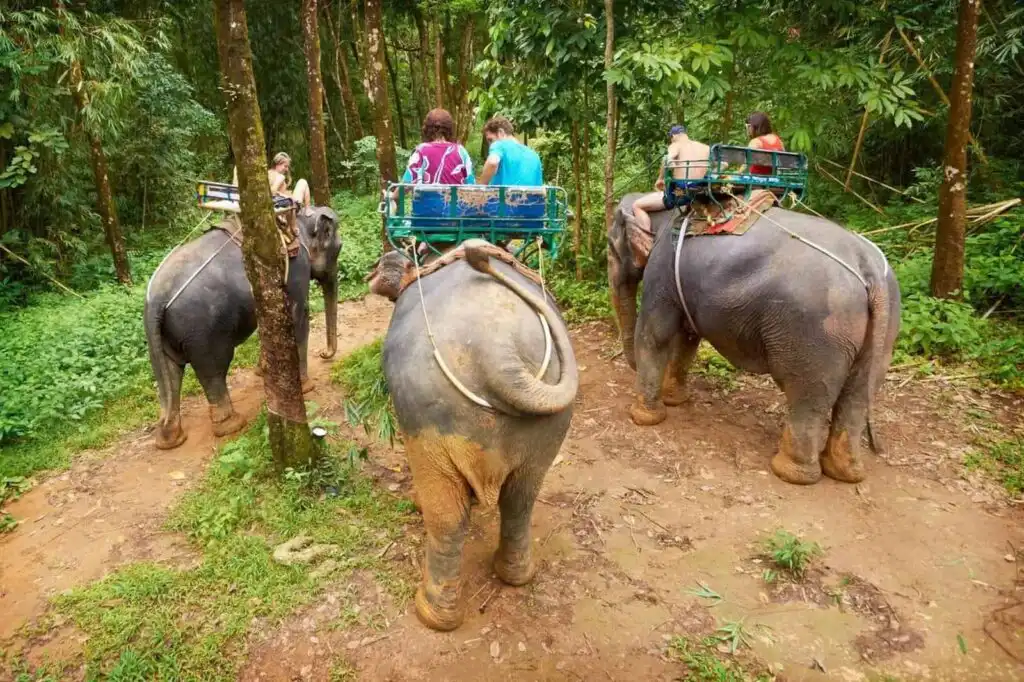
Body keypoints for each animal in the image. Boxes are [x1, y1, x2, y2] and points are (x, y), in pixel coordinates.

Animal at [144, 206, 340, 449]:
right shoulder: (297, 268)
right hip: (202, 332)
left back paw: (170, 438)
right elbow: (298, 317)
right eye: (338, 248)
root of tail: (157, 299)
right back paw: (232, 425)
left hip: (160, 336)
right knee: (213, 369)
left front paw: (262, 371)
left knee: (170, 374)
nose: (324, 354)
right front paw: (307, 387)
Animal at [367, 239, 578, 631]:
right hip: (551, 423)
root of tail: (499, 352)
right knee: (521, 498)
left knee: (447, 515)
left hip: (426, 412)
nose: (368, 275)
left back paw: (433, 614)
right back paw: (515, 575)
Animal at [624, 202, 900, 486]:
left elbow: (655, 334)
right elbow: (686, 338)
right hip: (884, 328)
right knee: (857, 395)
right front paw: (674, 401)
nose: (631, 367)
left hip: (815, 332)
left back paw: (789, 472)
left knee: (808, 394)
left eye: (615, 245)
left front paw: (642, 417)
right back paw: (844, 472)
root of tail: (870, 270)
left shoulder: (661, 270)